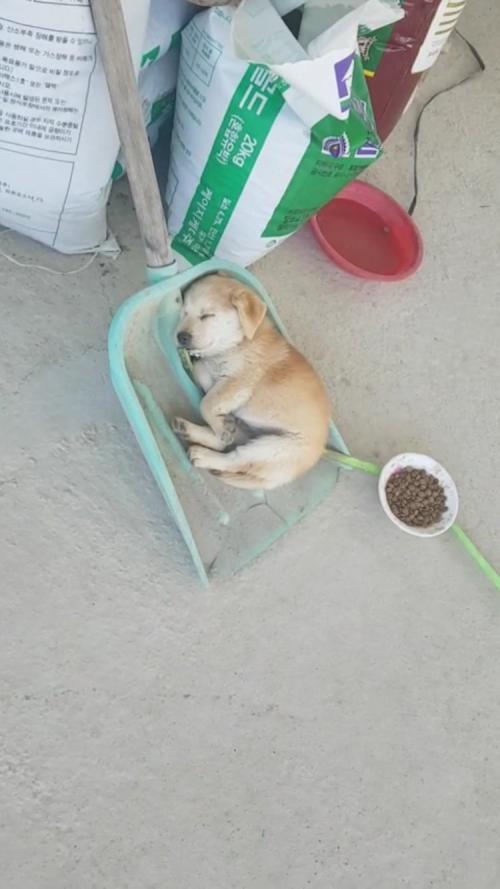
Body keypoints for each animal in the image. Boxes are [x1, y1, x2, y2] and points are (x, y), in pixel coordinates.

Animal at [173, 274, 331, 490]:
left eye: (207, 315)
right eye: (184, 313)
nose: (181, 336)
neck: (237, 343)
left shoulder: (239, 382)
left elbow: (206, 402)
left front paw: (218, 420)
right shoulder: (217, 373)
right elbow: (201, 372)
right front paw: (220, 419)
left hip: (273, 449)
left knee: (234, 458)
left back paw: (204, 454)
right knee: (226, 442)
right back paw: (194, 429)